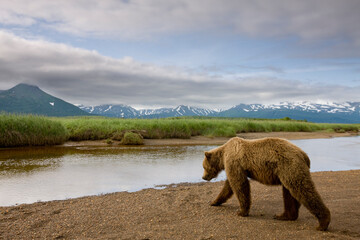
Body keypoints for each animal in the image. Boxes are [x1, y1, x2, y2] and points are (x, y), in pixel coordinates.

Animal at [201, 137, 330, 231]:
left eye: (203, 167)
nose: (203, 177)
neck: (223, 154)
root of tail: (305, 155)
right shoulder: (234, 166)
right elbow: (228, 187)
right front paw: (214, 202)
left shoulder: (234, 162)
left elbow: (239, 185)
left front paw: (241, 211)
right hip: (286, 171)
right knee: (288, 192)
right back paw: (284, 215)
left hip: (289, 165)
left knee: (302, 188)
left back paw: (322, 223)